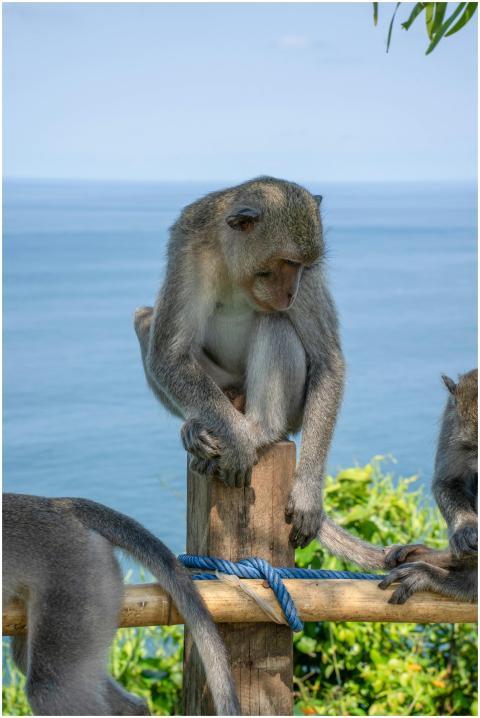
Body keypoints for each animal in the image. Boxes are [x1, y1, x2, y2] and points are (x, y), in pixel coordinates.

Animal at [133, 176, 347, 549]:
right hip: (225, 384)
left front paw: (307, 493)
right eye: (287, 262)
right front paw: (235, 441)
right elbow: (168, 354)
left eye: (304, 266)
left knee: (275, 321)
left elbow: (328, 360)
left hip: (292, 410)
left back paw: (262, 429)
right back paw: (201, 427)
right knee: (145, 319)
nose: (292, 291)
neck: (237, 269)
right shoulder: (187, 249)